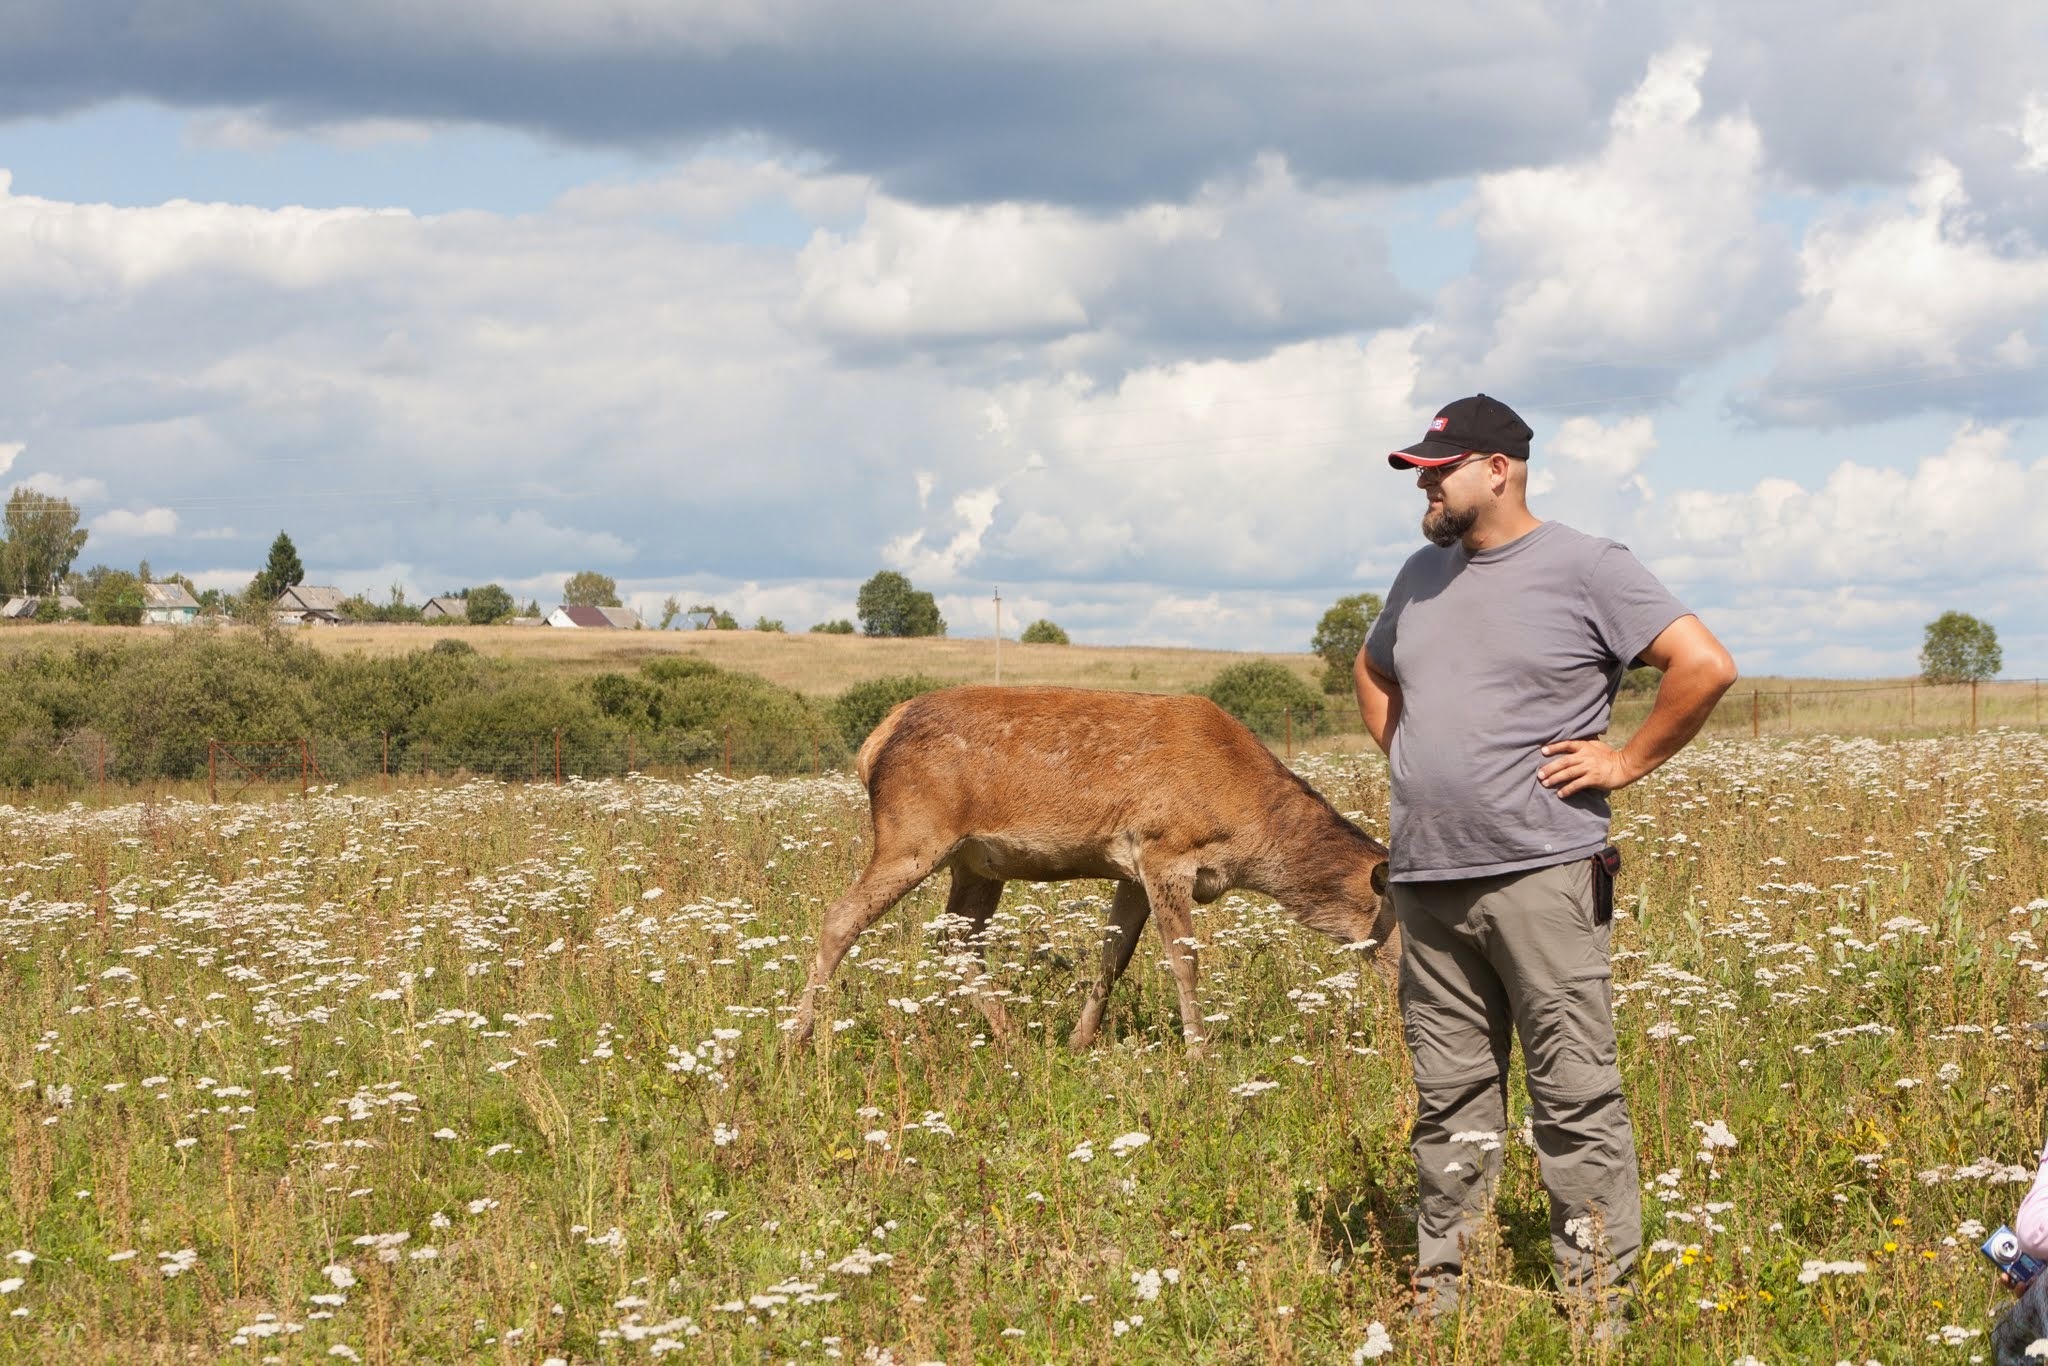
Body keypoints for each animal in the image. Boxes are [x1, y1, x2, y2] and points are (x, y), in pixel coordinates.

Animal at [790, 684, 1400, 1056]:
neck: (1247, 834)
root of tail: (872, 744)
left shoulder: (1131, 872)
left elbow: (1114, 958)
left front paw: (1080, 1041)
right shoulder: (1163, 849)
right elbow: (1184, 962)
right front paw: (1200, 1053)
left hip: (977, 863)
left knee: (957, 940)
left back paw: (1013, 1036)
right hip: (911, 833)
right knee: (841, 917)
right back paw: (797, 1037)